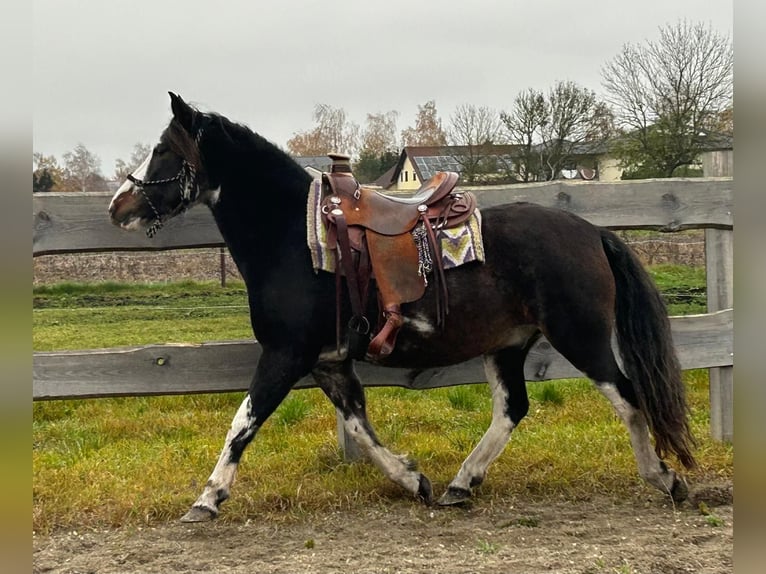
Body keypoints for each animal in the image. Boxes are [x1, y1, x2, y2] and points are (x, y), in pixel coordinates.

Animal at [109, 92, 704, 524]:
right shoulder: (329, 363)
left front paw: (207, 498)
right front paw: (412, 479)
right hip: (506, 345)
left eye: (163, 149)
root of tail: (592, 233)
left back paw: (665, 478)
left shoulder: (285, 356)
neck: (297, 240)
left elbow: (244, 422)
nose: (119, 206)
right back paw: (461, 484)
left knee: (626, 396)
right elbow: (360, 428)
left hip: (579, 336)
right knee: (512, 409)